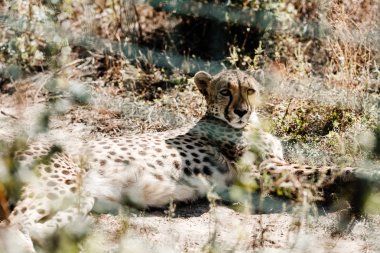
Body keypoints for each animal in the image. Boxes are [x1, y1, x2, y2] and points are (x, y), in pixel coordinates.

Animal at [0, 68, 362, 251]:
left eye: (250, 90)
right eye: (225, 91)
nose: (241, 111)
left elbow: (310, 173)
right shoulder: (264, 170)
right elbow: (319, 170)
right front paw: (356, 176)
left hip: (80, 196)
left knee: (36, 225)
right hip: (56, 185)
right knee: (13, 224)